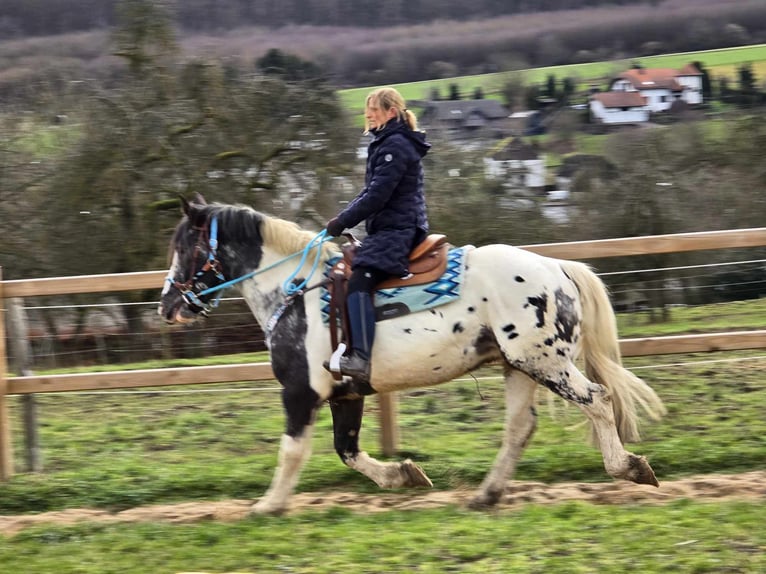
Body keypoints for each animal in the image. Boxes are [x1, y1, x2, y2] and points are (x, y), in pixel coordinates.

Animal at [158, 196, 664, 516]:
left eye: (184, 246)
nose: (167, 305)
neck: (294, 290)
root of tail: (558, 266)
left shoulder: (300, 392)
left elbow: (293, 451)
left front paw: (269, 505)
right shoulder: (346, 394)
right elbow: (347, 450)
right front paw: (404, 475)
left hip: (546, 364)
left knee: (597, 399)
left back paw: (629, 467)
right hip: (519, 367)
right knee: (520, 429)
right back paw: (486, 495)